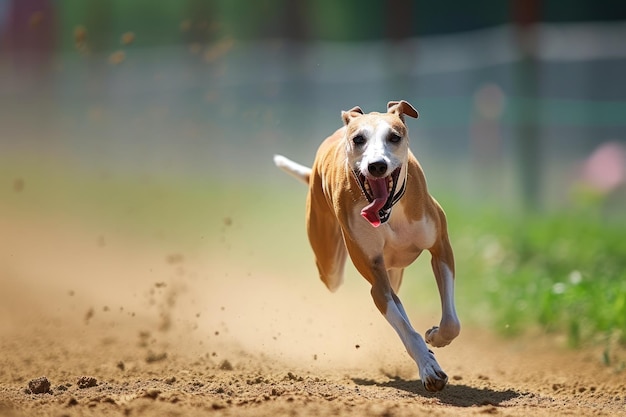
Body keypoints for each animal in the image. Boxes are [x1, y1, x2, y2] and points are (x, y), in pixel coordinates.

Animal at [272, 100, 458, 390]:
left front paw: (435, 336)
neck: (390, 213)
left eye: (394, 137)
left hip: (394, 273)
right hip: (332, 266)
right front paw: (429, 367)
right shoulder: (375, 275)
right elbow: (405, 327)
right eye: (359, 139)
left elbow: (451, 322)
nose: (377, 166)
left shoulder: (441, 249)